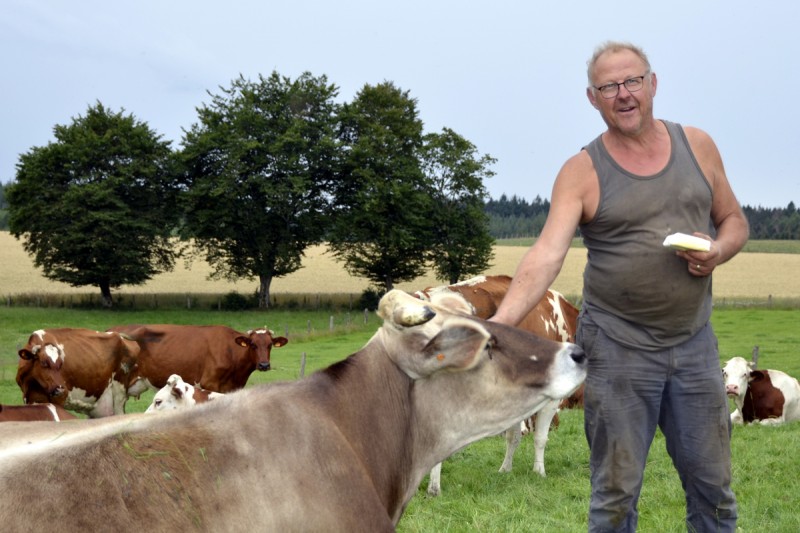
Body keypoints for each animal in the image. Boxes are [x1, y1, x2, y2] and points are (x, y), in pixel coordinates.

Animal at [16, 326, 144, 418]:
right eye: (43, 363)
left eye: (61, 364)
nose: (60, 389)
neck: (31, 383)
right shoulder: (30, 399)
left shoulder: (59, 400)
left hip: (119, 394)